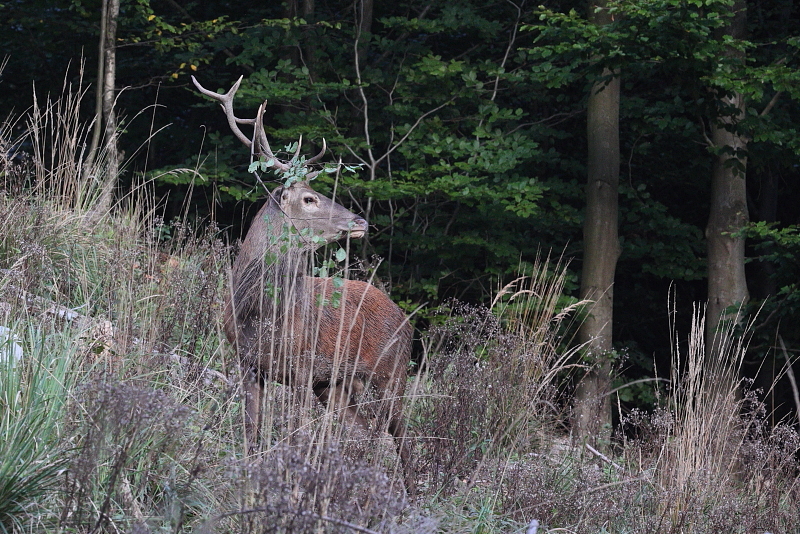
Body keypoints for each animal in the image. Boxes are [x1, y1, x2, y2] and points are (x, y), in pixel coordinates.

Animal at [194, 74, 416, 494]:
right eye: (310, 198)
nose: (360, 220)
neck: (259, 314)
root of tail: (406, 319)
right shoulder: (249, 365)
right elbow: (252, 432)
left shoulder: (301, 368)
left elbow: (295, 437)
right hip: (337, 386)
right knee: (366, 432)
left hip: (391, 373)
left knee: (398, 437)